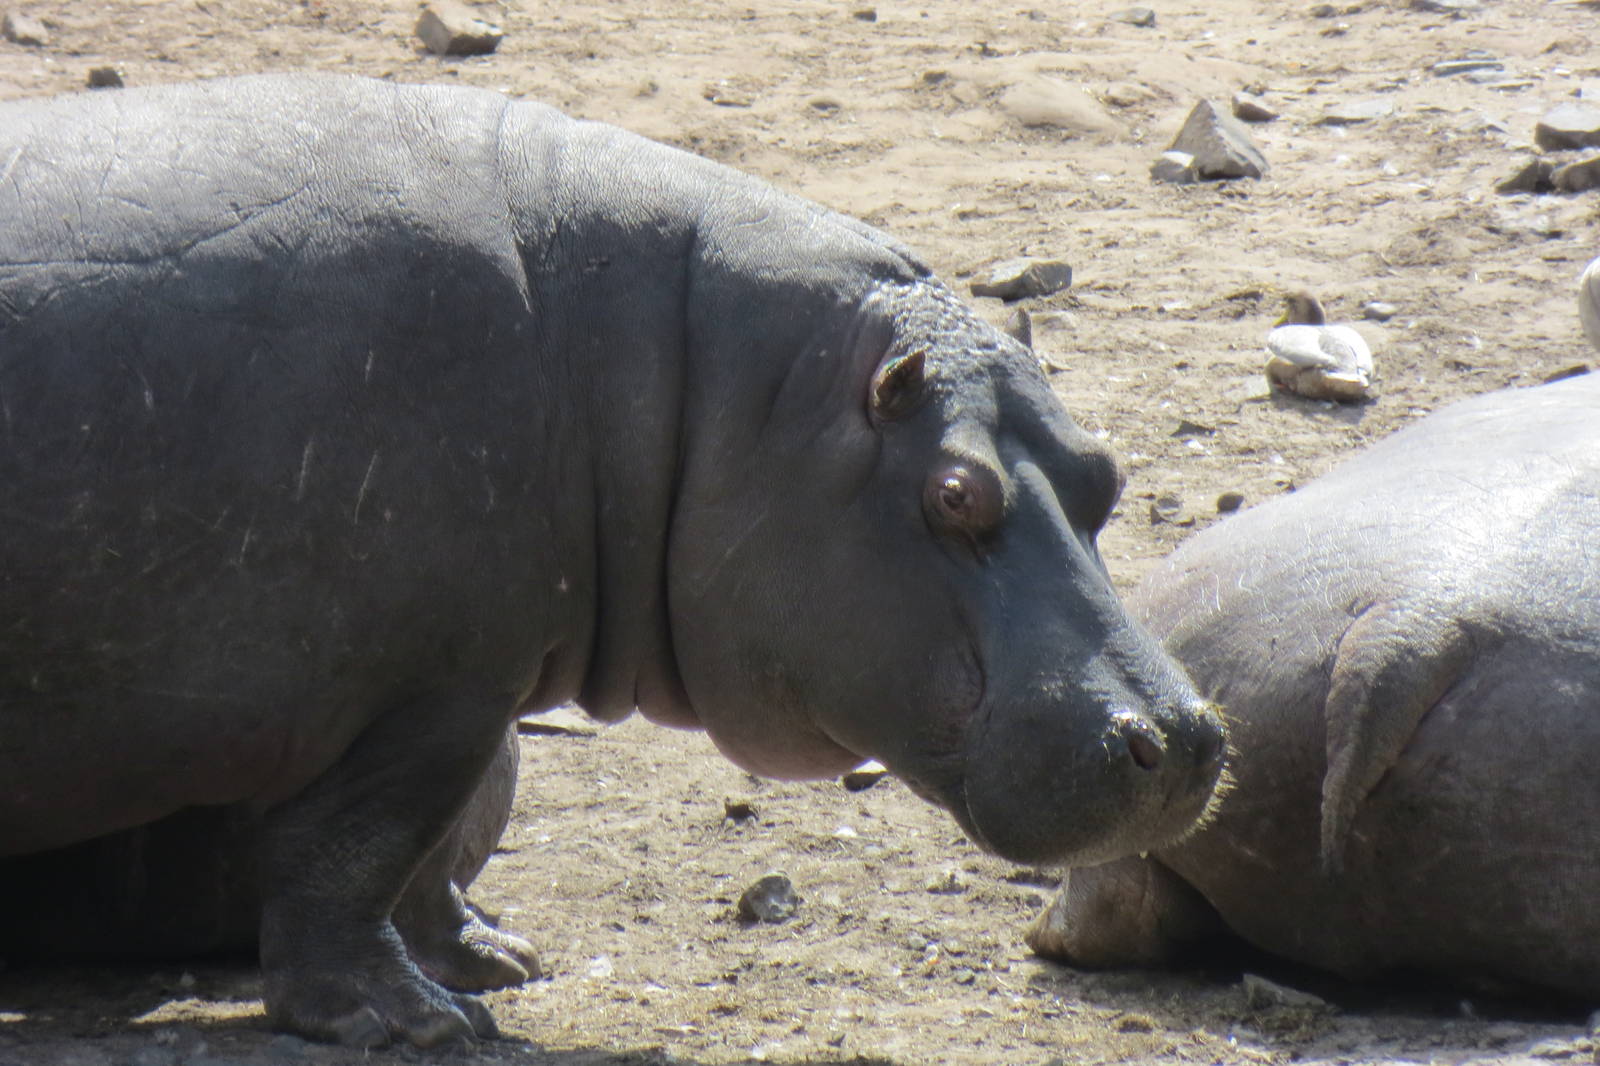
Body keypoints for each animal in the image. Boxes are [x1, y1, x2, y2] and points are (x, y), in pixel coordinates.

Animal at [0, 75, 1225, 1047]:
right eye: (955, 493)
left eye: (1105, 469)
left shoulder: (478, 675)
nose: (1189, 738)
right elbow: (359, 851)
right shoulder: (429, 689)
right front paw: (414, 1024)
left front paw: (495, 961)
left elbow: (429, 852)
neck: (717, 385)